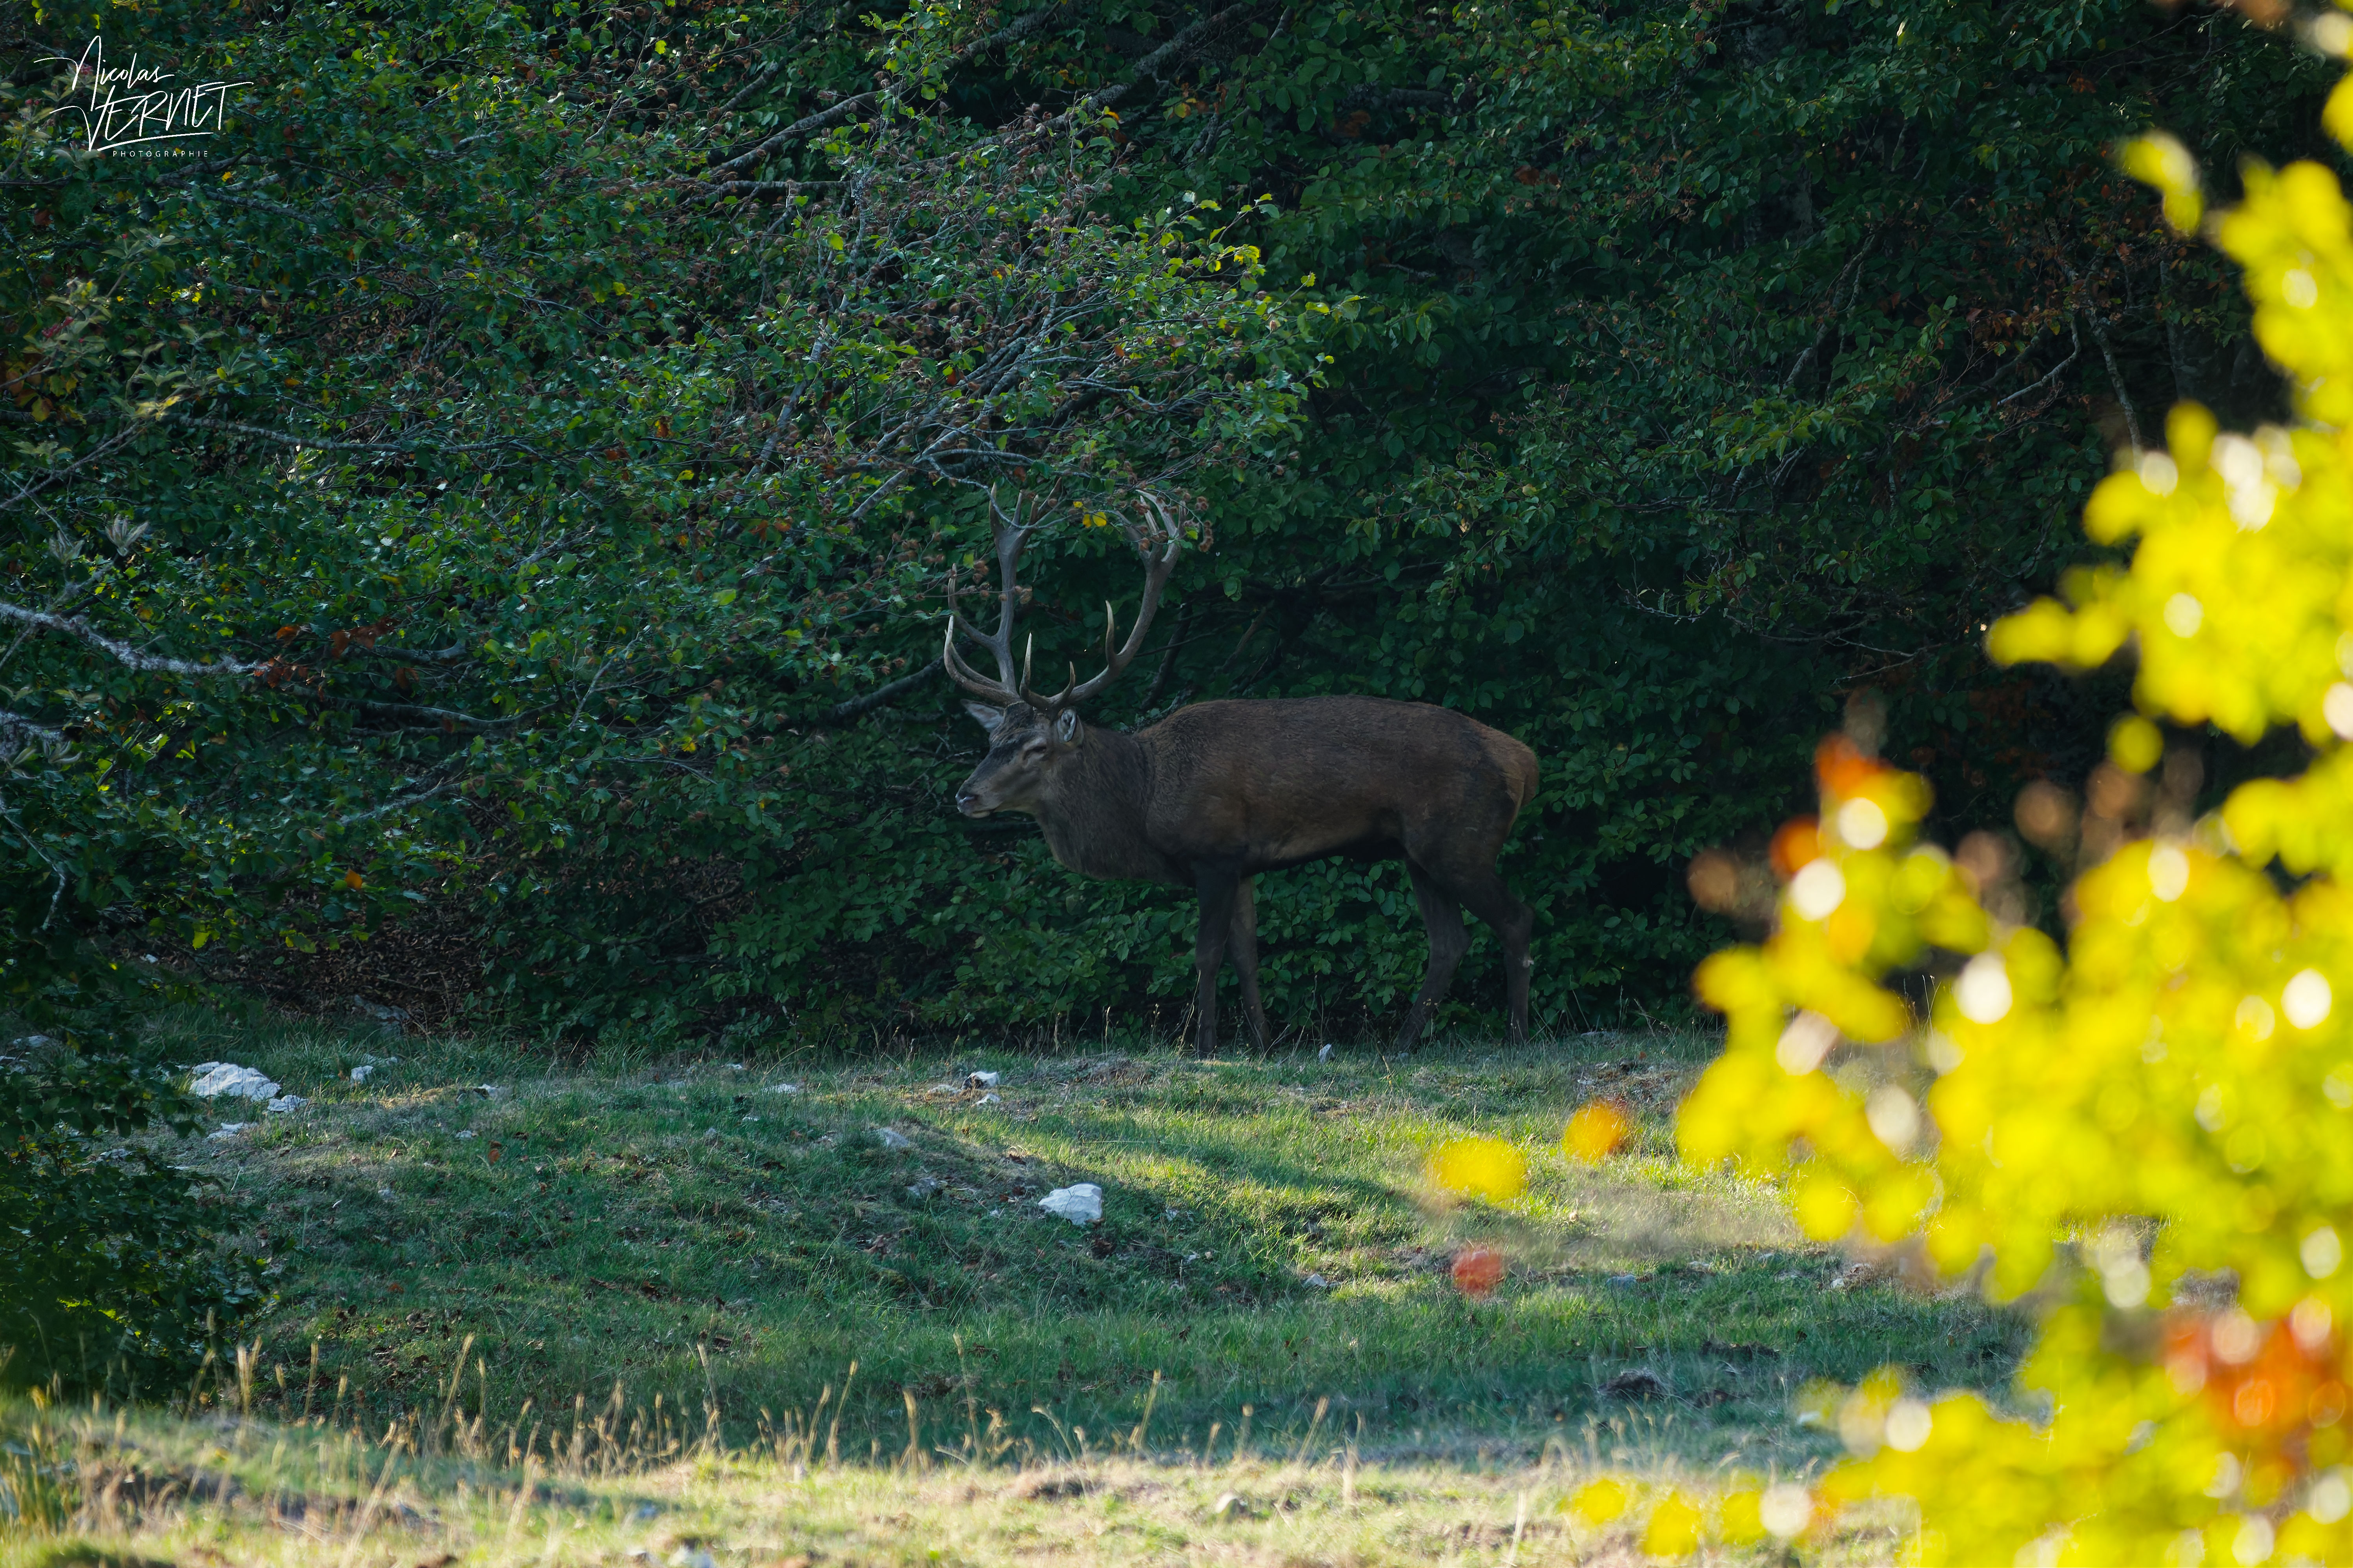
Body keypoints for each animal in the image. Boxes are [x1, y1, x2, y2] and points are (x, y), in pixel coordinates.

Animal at [942, 490, 1540, 1056]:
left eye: (1037, 747)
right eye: (992, 740)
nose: (966, 795)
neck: (1146, 797)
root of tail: (1522, 760)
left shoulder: (1215, 852)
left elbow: (1207, 955)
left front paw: (1204, 1046)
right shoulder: (1246, 865)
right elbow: (1247, 956)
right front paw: (1263, 1043)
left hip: (1461, 839)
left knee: (1515, 919)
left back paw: (1517, 1036)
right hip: (1419, 852)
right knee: (1449, 942)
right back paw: (1402, 1043)